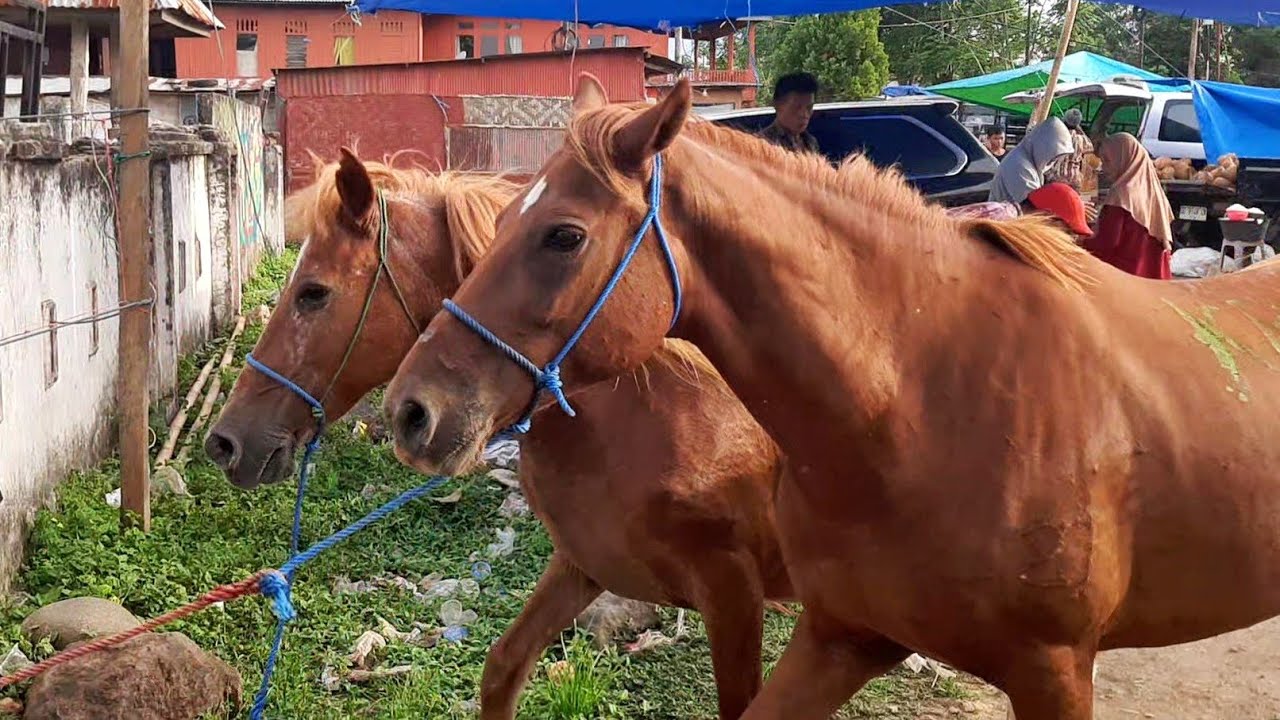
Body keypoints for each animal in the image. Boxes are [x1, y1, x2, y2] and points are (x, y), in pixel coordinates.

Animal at [204, 149, 795, 719]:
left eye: (313, 293)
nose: (223, 442)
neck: (647, 416)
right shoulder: (581, 563)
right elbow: (503, 669)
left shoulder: (732, 596)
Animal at [381, 74, 1280, 719]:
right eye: (497, 226)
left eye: (563, 235)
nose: (412, 411)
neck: (925, 407)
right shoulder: (839, 635)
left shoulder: (1053, 672)